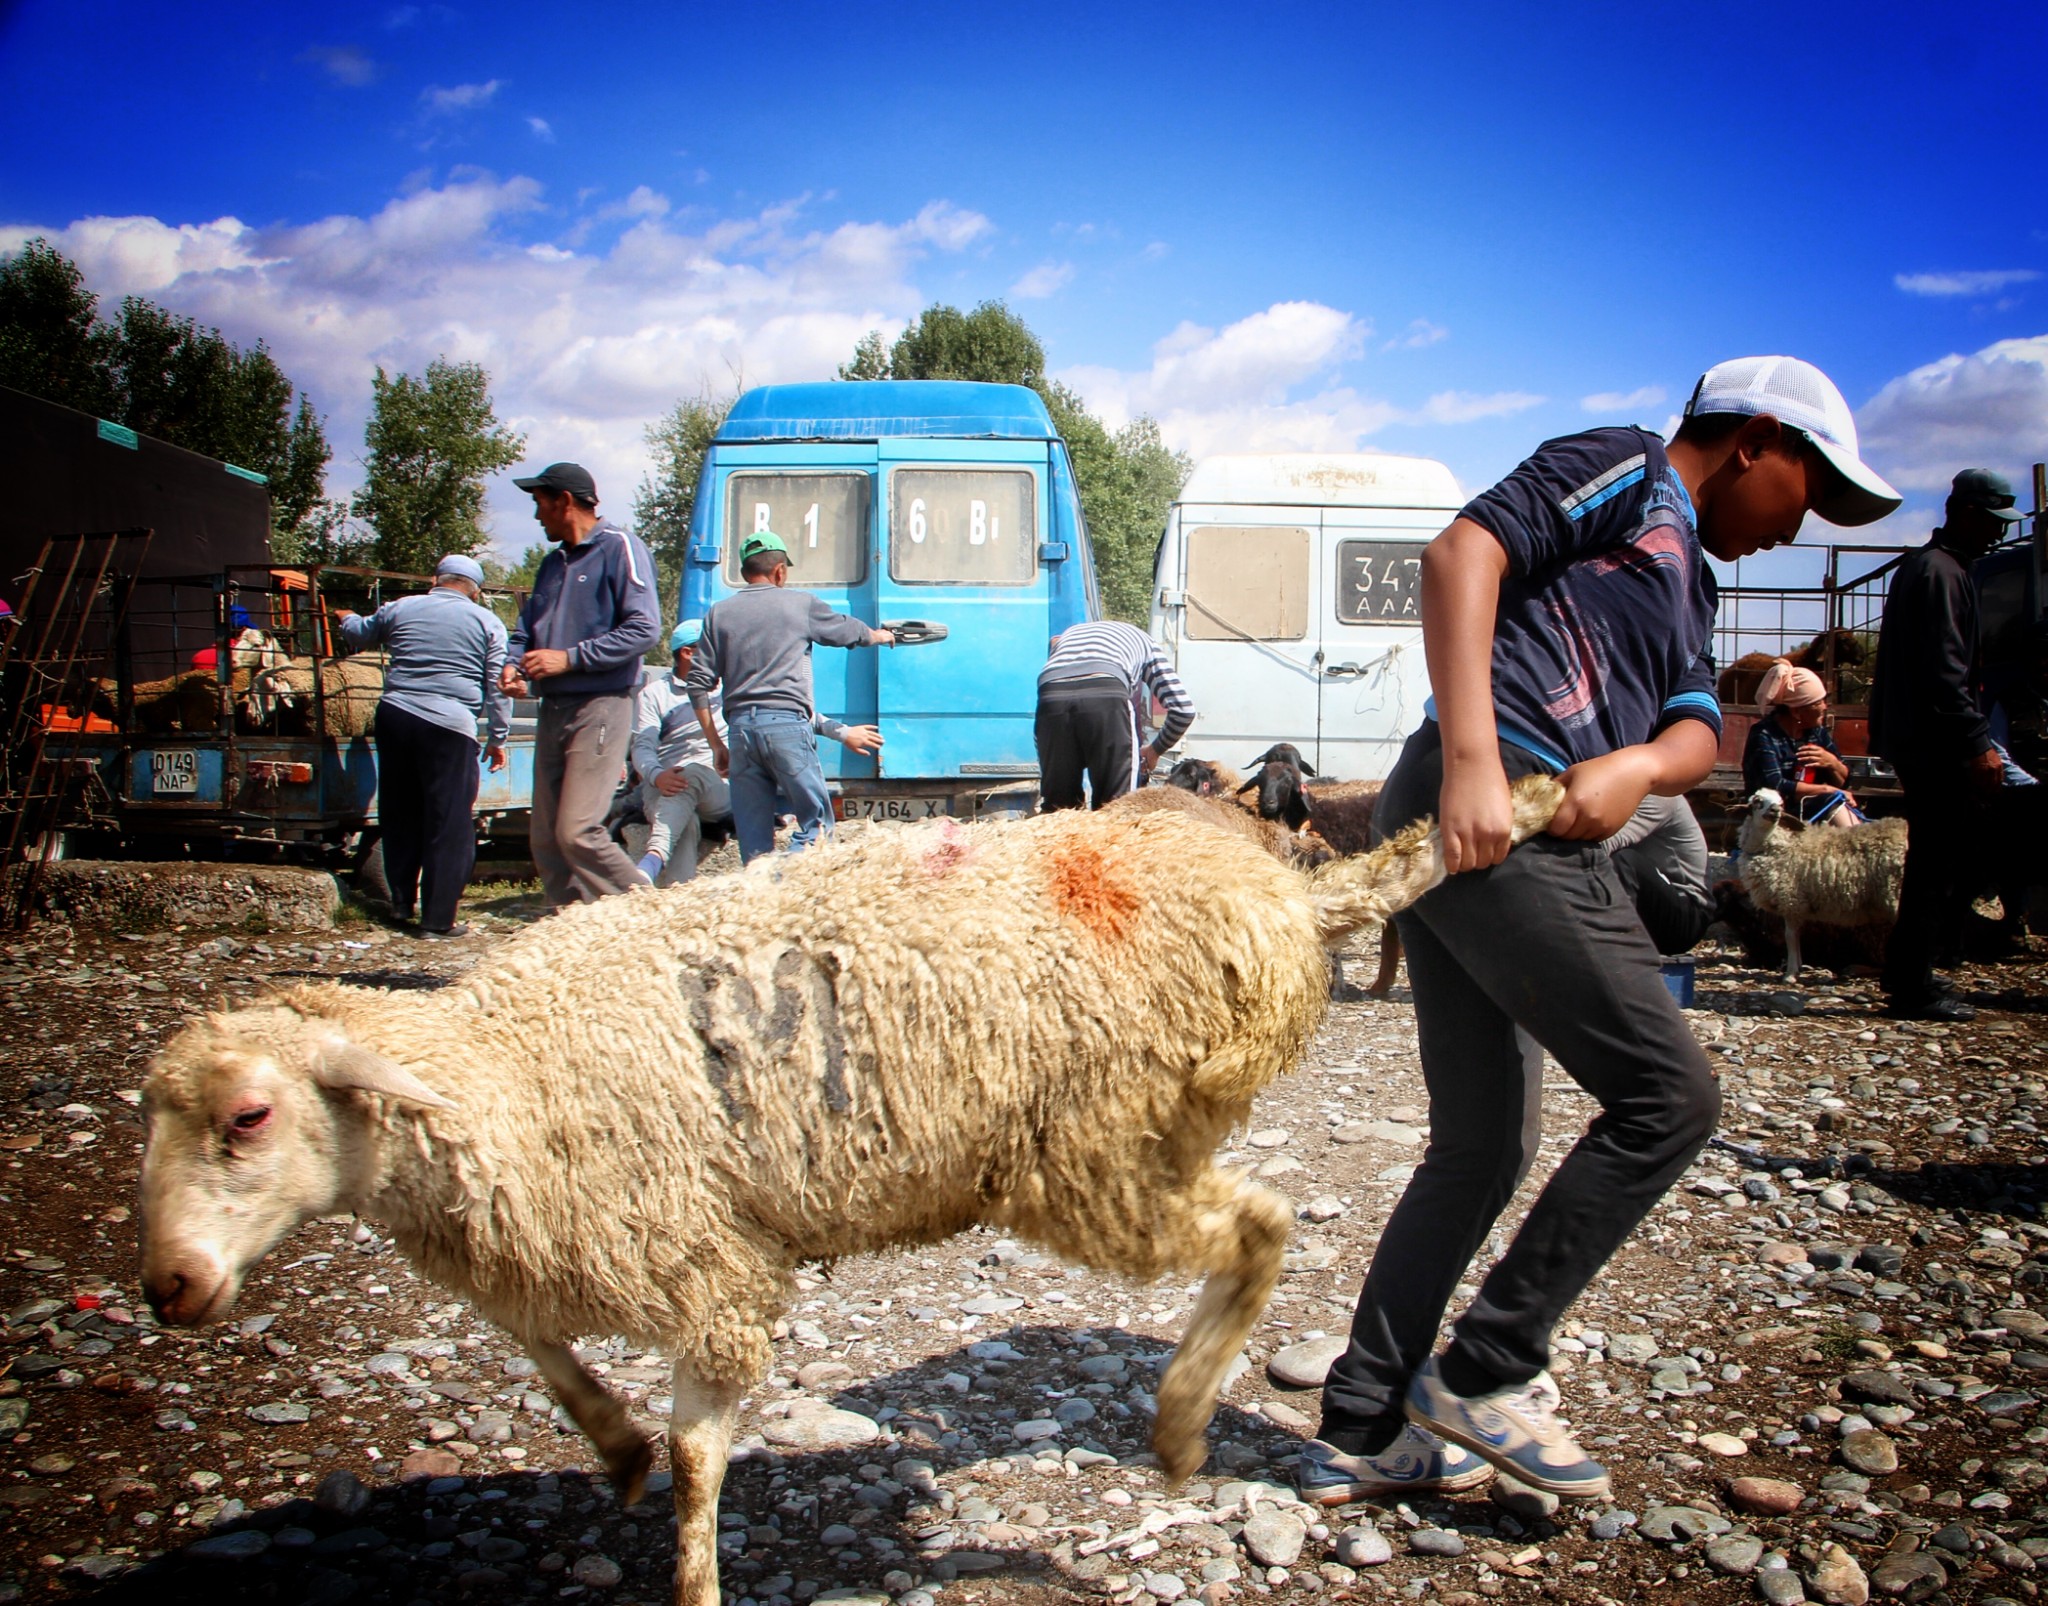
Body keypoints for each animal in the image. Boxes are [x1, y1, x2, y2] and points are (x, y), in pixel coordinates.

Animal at [136, 770, 1556, 1597]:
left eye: (250, 1117)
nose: (168, 1288)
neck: (507, 1069)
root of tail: (1275, 891)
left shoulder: (705, 1264)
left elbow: (699, 1454)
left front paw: (689, 1566)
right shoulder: (590, 1236)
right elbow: (537, 1344)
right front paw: (610, 1443)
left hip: (1083, 1152)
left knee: (1257, 1226)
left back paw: (1176, 1422)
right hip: (1126, 1139)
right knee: (1247, 1223)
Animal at [1736, 786, 1908, 979]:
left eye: (1781, 803)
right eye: (1757, 801)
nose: (1775, 810)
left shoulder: (1790, 899)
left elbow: (1790, 936)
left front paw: (1790, 973)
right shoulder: (1797, 904)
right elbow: (1796, 935)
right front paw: (1799, 966)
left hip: (1895, 891)